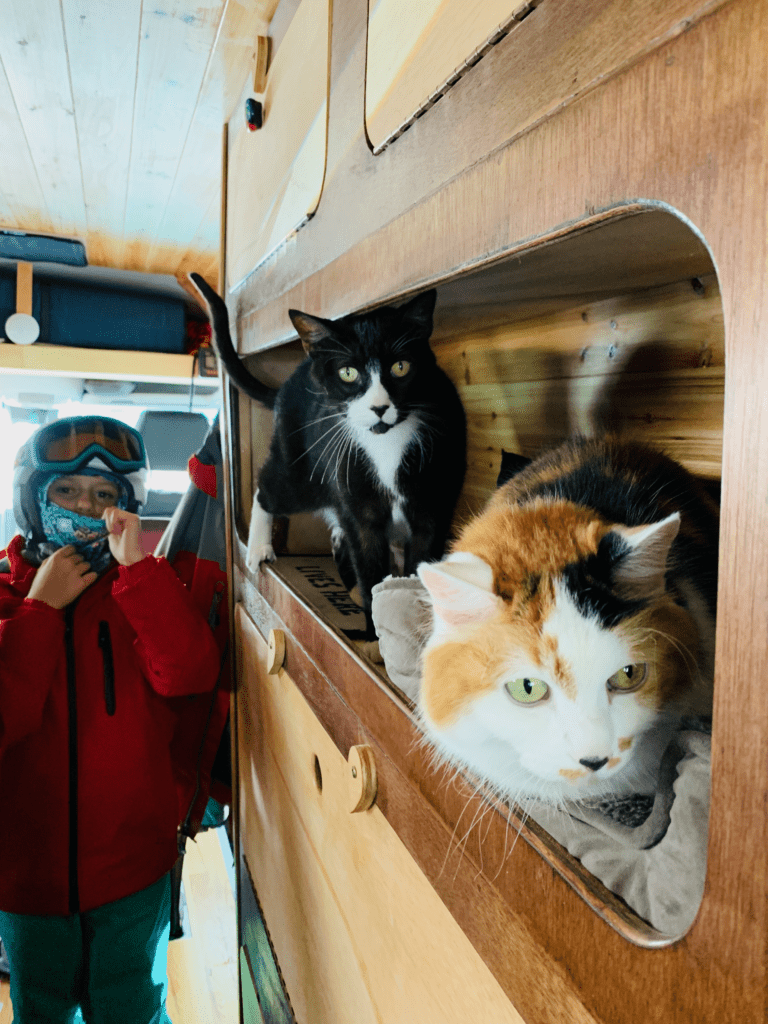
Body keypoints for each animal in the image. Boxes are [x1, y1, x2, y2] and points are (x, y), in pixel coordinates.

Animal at [191, 276, 468, 634]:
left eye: (401, 367)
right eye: (348, 373)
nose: (379, 407)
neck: (386, 446)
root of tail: (285, 387)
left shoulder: (432, 508)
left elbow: (419, 562)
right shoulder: (360, 509)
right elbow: (369, 569)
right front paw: (375, 634)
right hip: (302, 473)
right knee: (268, 487)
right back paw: (258, 547)